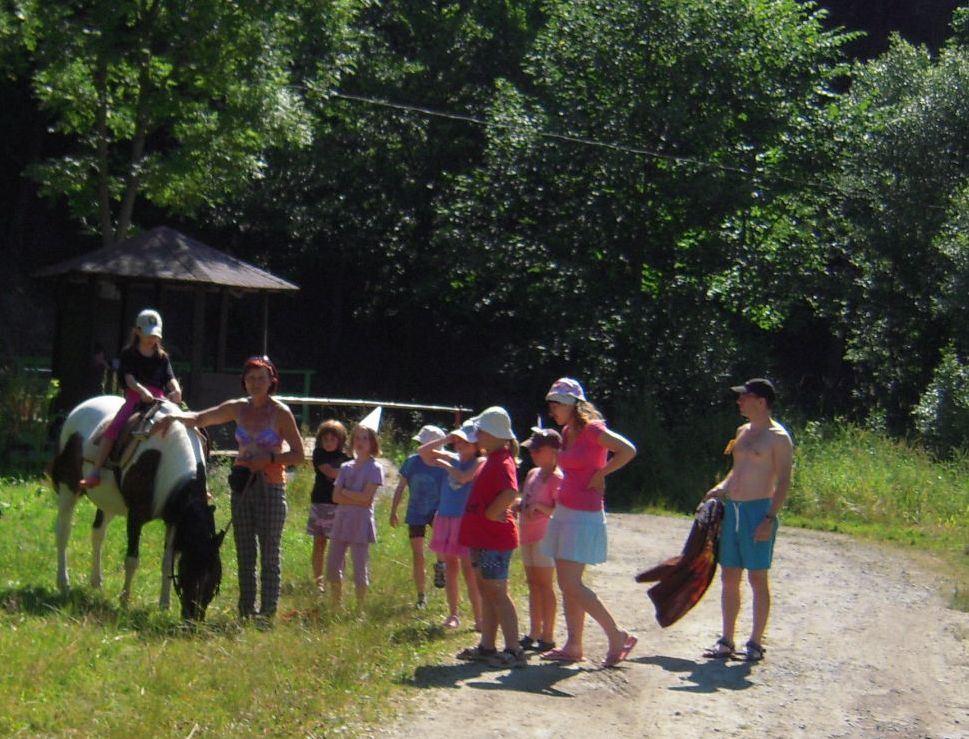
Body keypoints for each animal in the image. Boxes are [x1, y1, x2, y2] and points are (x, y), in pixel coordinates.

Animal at [49, 395, 223, 620]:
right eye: (190, 570)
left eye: (215, 579)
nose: (193, 618)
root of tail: (78, 409)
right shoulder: (135, 515)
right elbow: (132, 560)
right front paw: (124, 602)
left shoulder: (174, 518)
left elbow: (167, 562)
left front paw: (164, 605)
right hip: (68, 488)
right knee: (63, 531)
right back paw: (63, 581)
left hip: (109, 502)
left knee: (98, 533)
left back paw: (96, 582)